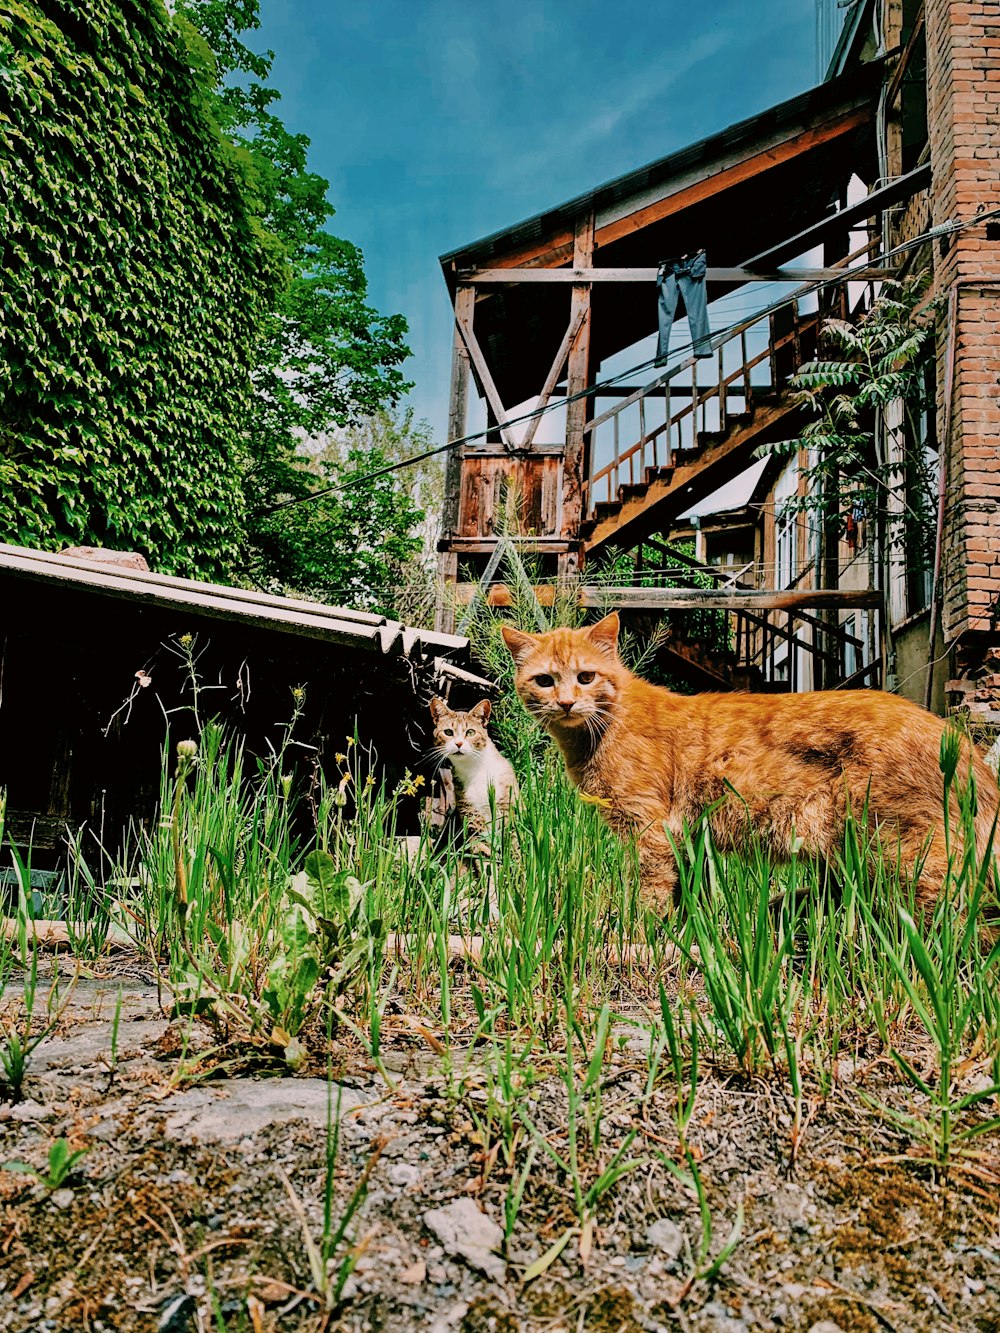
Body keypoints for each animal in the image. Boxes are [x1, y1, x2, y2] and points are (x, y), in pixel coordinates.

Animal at [429, 698, 520, 831]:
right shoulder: (470, 812)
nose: (459, 743)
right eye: (448, 732)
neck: (475, 768)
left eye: (470, 732)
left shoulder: (508, 804)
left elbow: (511, 833)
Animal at [501, 610, 997, 906]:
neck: (602, 729)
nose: (566, 702)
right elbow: (688, 894)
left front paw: (640, 939)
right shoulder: (687, 838)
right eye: (545, 681)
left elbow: (651, 894)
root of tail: (954, 740)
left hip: (902, 854)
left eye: (586, 677)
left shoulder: (651, 830)